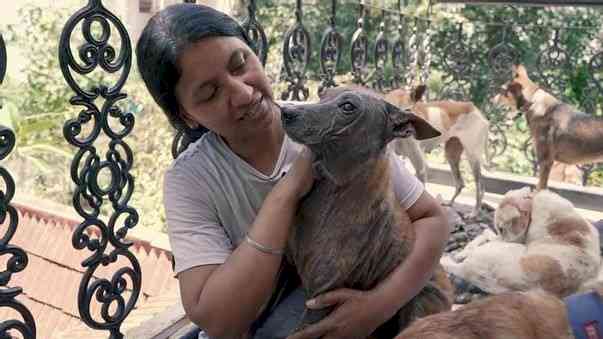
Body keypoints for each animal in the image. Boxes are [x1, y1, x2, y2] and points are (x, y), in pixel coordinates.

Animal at [280, 88, 452, 339]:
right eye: (323, 94)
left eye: (348, 107)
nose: (285, 111)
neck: (333, 194)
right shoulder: (287, 271)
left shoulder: (320, 301)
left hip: (419, 306)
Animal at [386, 85, 490, 218]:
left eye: (408, 111)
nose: (407, 132)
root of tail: (474, 109)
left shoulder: (420, 167)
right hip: (451, 155)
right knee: (460, 183)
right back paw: (449, 203)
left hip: (473, 157)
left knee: (480, 187)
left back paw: (474, 212)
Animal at [442, 187, 600, 298]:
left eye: (501, 228)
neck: (532, 204)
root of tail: (468, 270)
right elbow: (485, 233)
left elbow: (485, 233)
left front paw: (466, 249)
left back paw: (459, 255)